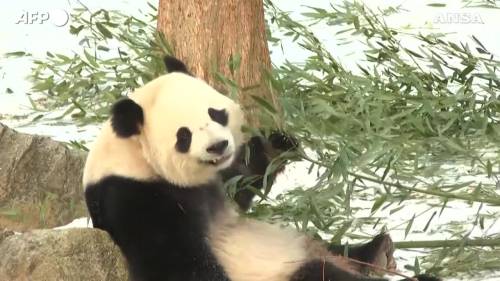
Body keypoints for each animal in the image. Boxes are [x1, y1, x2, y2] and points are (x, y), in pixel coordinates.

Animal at [84, 55, 440, 280]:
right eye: (183, 136)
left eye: (215, 113)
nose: (219, 146)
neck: (134, 156)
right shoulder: (136, 197)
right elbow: (178, 263)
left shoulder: (216, 182)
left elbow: (241, 185)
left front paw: (274, 145)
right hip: (281, 269)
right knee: (320, 275)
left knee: (334, 246)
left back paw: (376, 252)